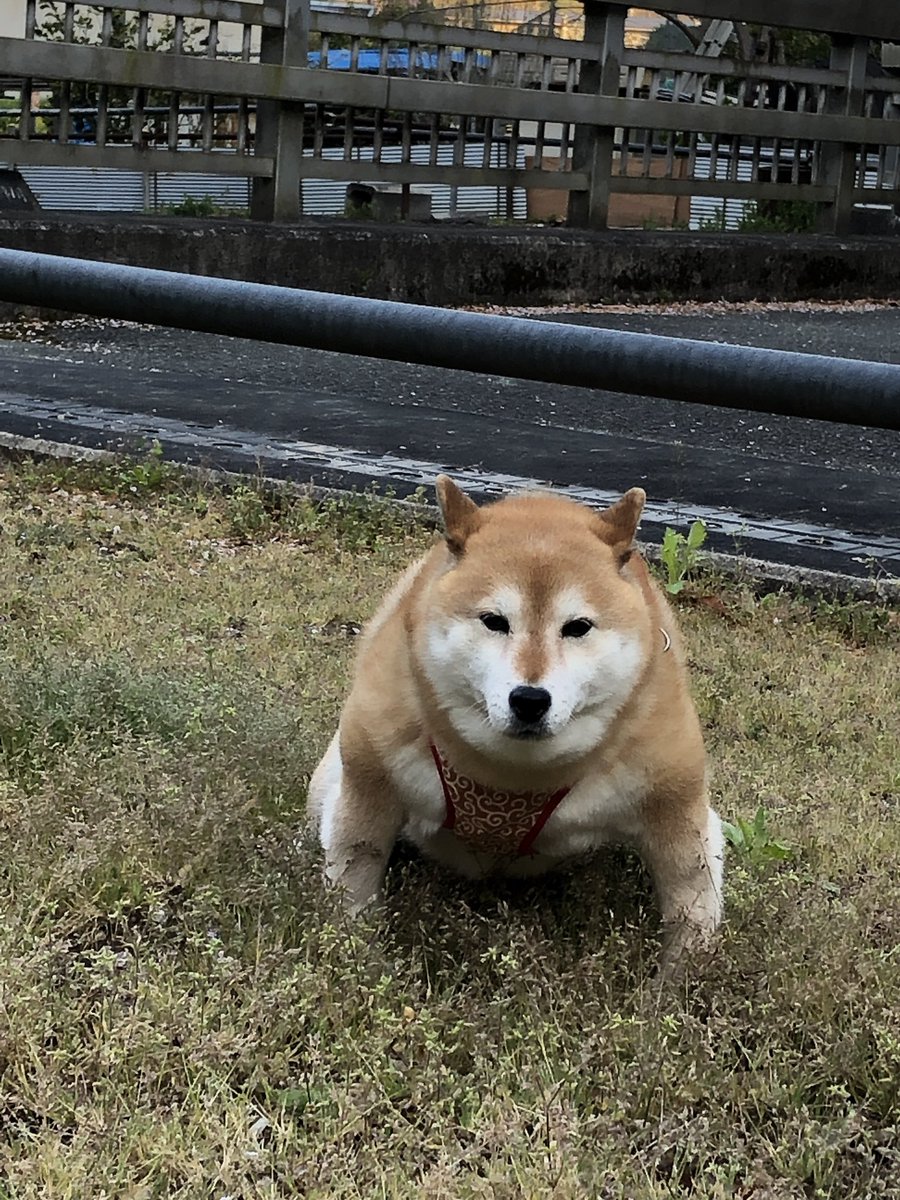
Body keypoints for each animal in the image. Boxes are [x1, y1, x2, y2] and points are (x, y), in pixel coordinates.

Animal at [309, 477, 724, 974]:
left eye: (577, 627)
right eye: (494, 621)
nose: (529, 700)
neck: (514, 774)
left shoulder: (673, 801)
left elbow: (690, 898)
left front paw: (677, 984)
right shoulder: (371, 783)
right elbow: (353, 882)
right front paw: (356, 962)